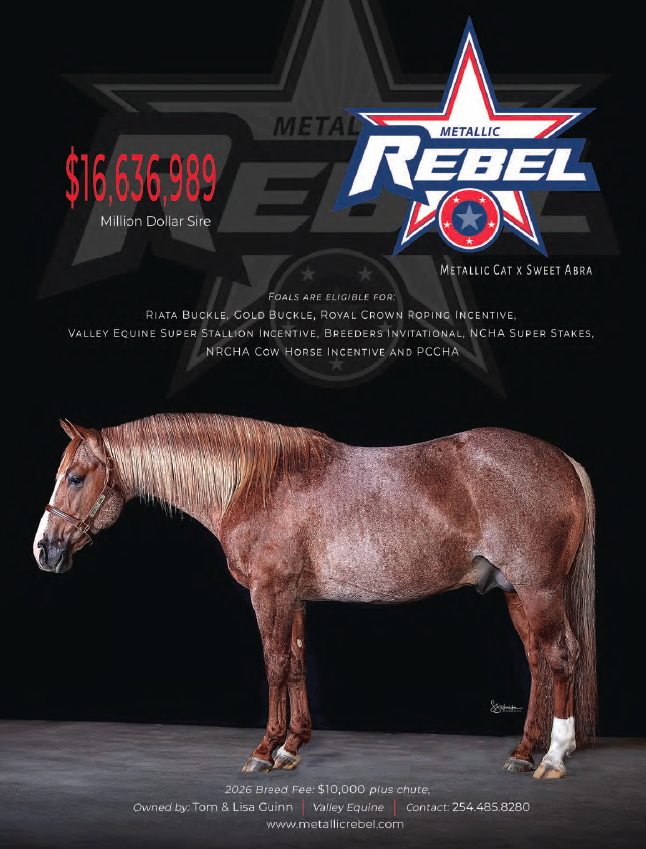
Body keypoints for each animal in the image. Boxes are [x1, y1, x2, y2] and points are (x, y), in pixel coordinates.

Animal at [33, 414, 596, 779]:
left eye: (76, 477)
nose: (44, 549)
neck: (254, 483)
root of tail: (563, 460)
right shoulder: (294, 596)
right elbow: (297, 662)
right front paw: (292, 745)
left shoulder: (270, 592)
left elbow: (275, 664)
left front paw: (264, 750)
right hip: (515, 592)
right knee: (539, 661)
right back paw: (524, 751)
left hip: (539, 589)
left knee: (562, 656)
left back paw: (553, 756)